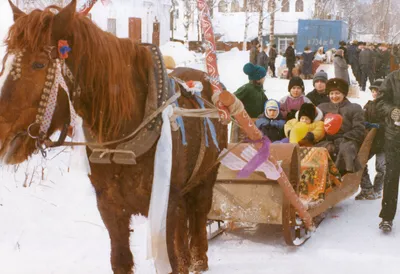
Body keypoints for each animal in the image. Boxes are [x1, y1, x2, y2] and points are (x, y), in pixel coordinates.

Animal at [0, 1, 227, 272]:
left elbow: (168, 258)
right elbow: (120, 259)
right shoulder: (110, 207)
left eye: (38, 64)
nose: (1, 135)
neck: (122, 143)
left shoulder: (165, 207)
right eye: (5, 63)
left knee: (199, 212)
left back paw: (198, 258)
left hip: (206, 177)